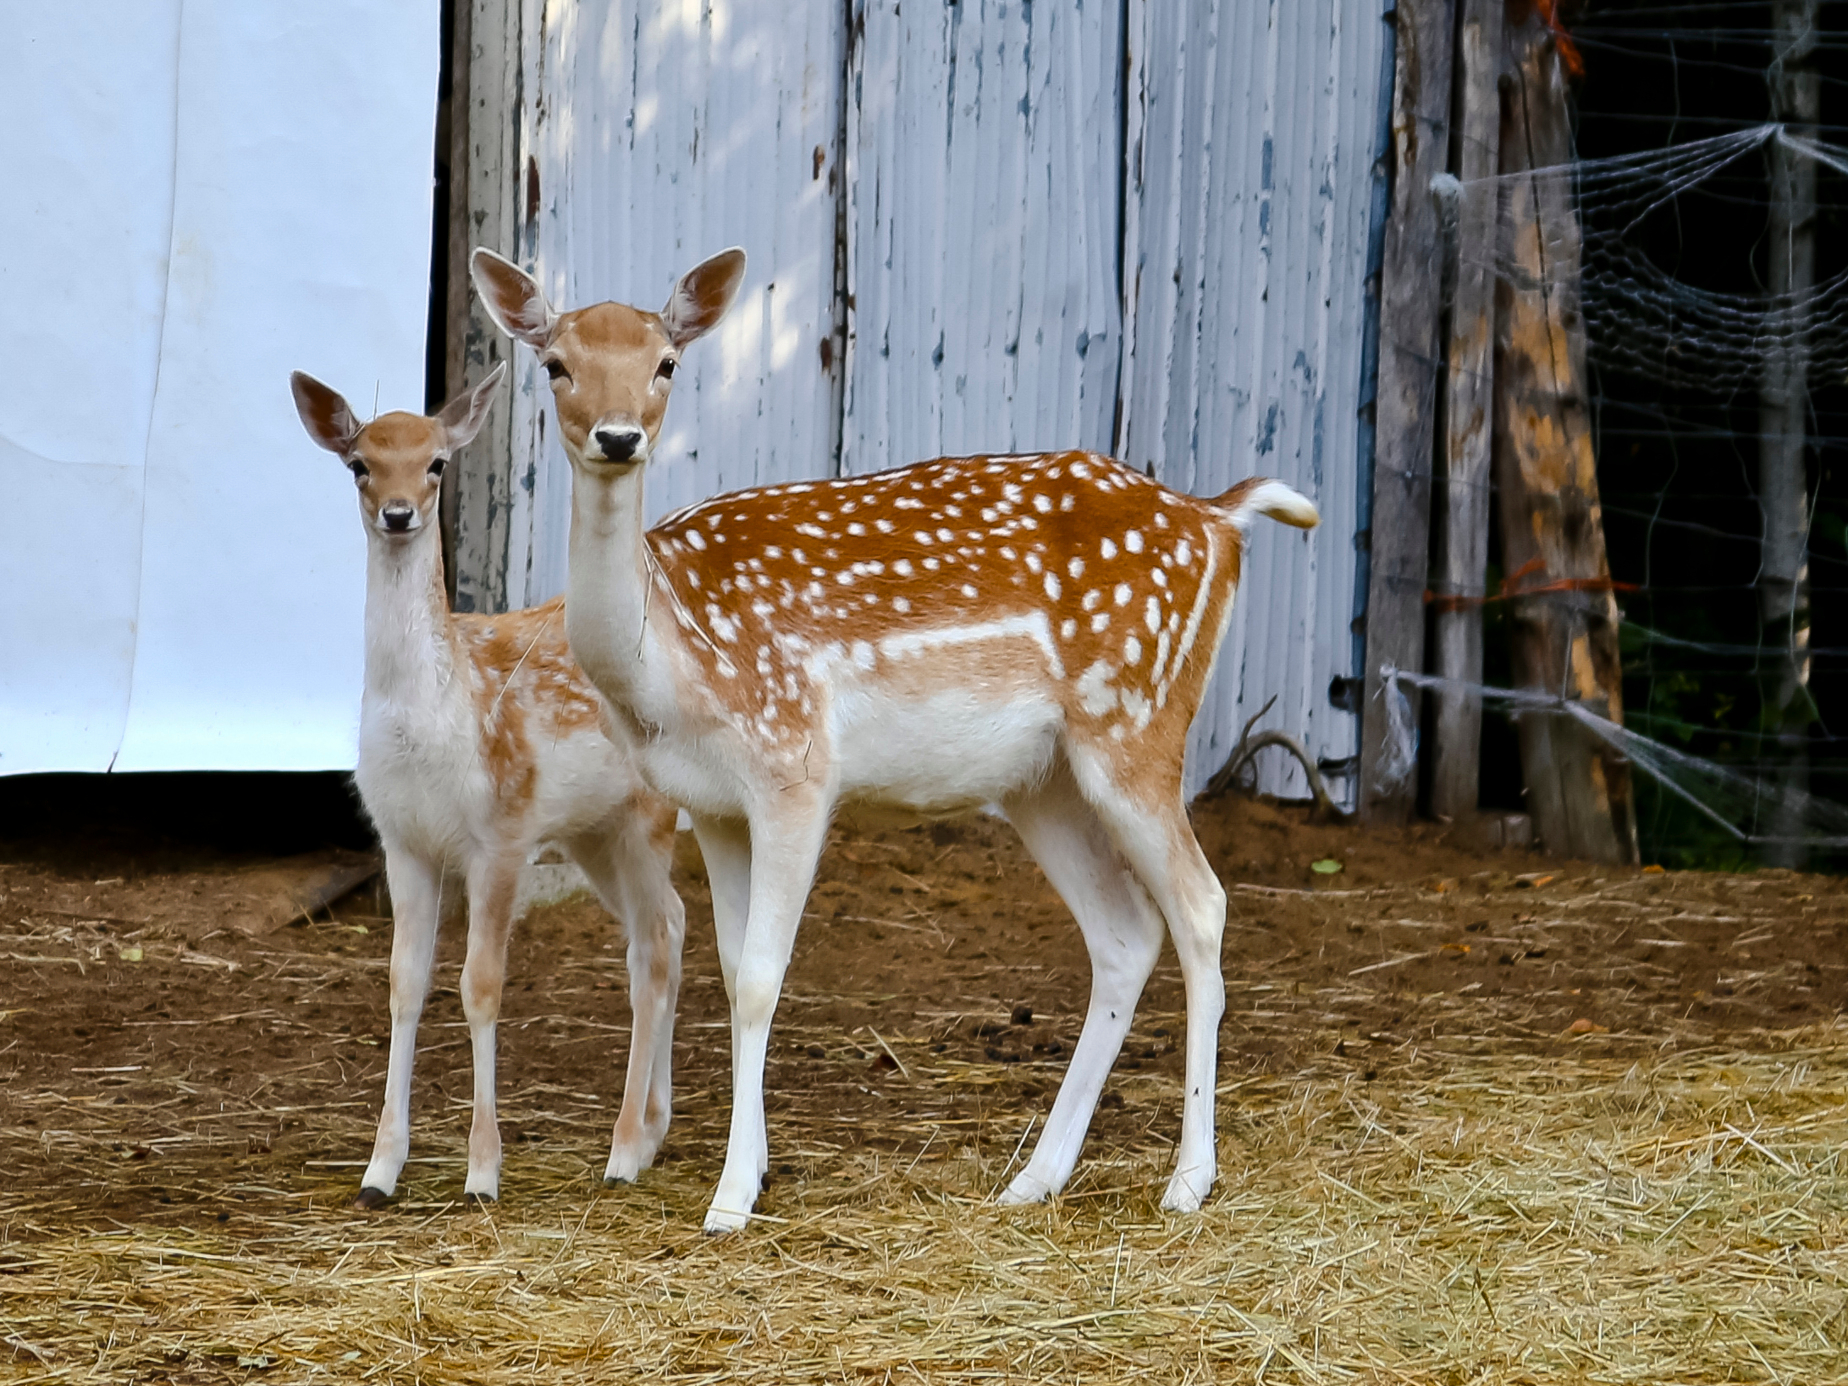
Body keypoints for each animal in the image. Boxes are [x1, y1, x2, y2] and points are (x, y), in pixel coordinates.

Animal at [288, 364, 687, 1212]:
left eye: (437, 463)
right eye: (359, 464)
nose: (399, 513)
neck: (436, 718)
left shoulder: (500, 835)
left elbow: (481, 986)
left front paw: (482, 1173)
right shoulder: (402, 841)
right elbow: (404, 985)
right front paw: (379, 1173)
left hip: (647, 815)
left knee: (657, 943)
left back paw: (623, 1150)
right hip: (594, 833)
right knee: (664, 927)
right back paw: (653, 1129)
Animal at [469, 243, 1323, 1234]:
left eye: (667, 363)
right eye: (555, 364)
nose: (616, 437)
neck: (668, 665)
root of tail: (1220, 519)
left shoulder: (796, 762)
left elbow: (761, 977)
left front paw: (731, 1199)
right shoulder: (711, 805)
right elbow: (730, 966)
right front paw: (754, 1171)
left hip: (1140, 721)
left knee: (1202, 905)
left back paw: (1187, 1180)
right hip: (1043, 779)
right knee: (1125, 933)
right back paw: (1035, 1178)